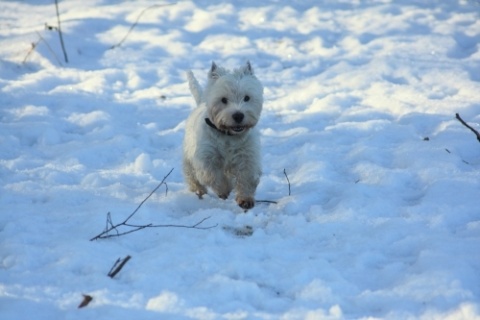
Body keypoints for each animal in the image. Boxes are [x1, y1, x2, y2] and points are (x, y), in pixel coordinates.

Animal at [184, 61, 264, 210]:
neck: (229, 135)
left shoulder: (247, 157)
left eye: (247, 97)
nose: (238, 116)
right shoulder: (206, 157)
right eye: (223, 100)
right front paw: (224, 190)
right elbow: (212, 176)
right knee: (192, 176)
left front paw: (245, 200)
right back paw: (199, 191)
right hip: (188, 157)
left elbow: (247, 178)